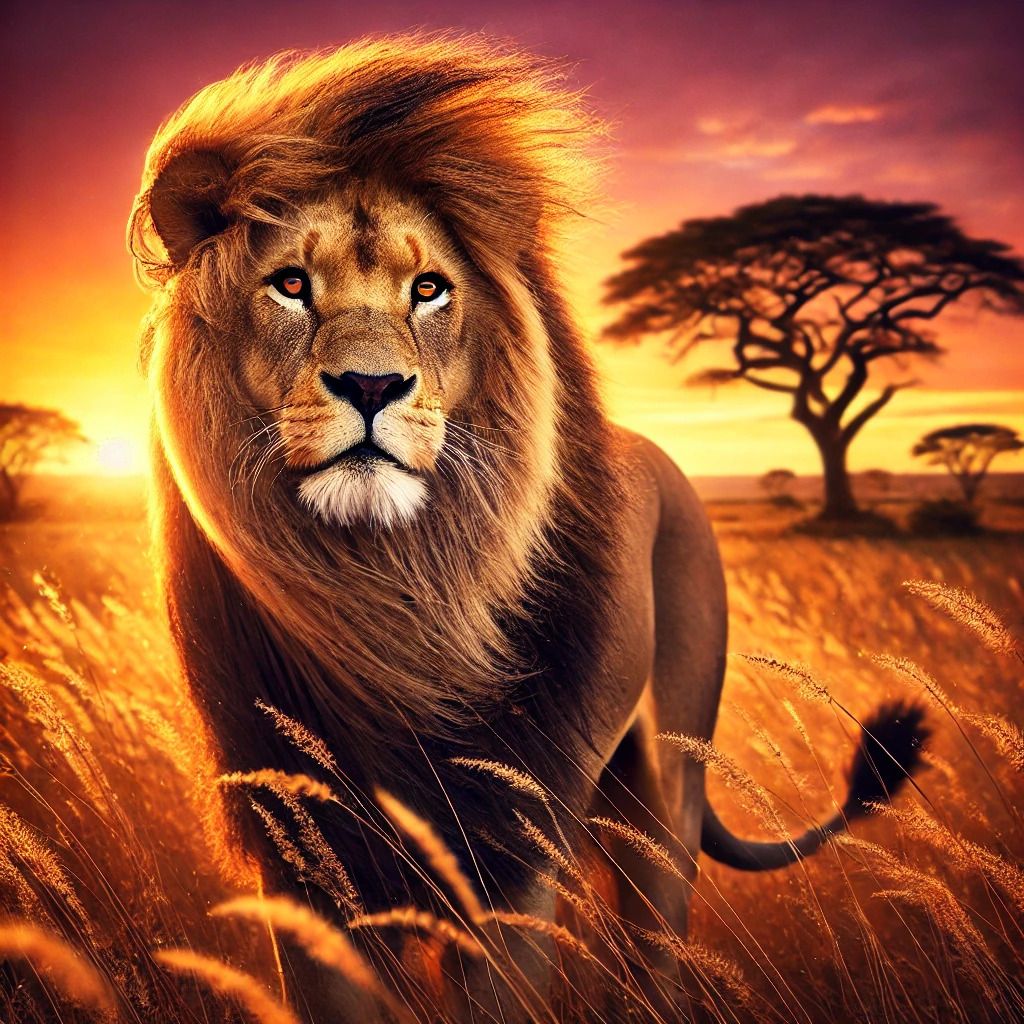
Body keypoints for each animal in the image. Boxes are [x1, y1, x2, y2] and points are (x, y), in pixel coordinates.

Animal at [129, 35, 927, 1019]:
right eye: (289, 286)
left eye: (429, 290)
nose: (369, 385)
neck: (389, 603)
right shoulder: (308, 860)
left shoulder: (509, 854)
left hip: (662, 794)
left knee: (655, 947)